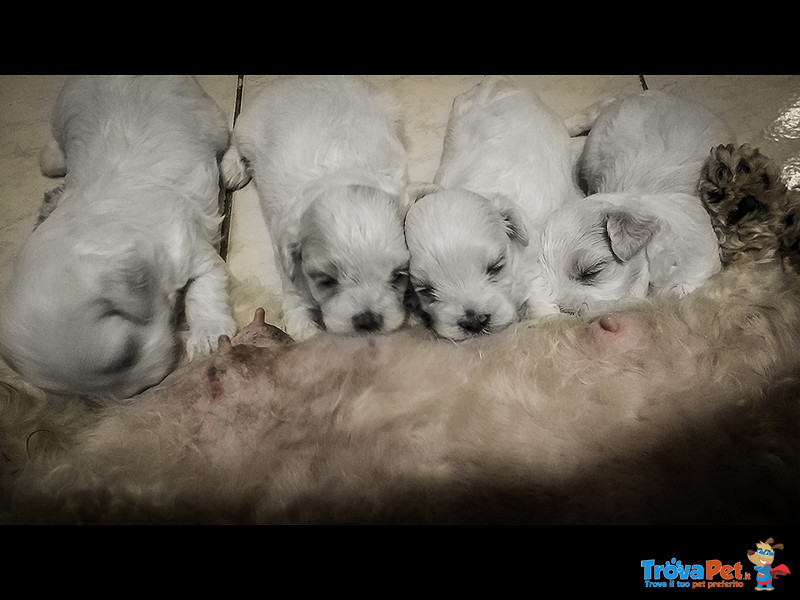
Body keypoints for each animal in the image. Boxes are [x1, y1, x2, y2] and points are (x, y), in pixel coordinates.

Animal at [0, 76, 238, 404]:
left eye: (127, 353)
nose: (143, 391)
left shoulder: (191, 251)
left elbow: (204, 290)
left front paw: (209, 336)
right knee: (52, 155)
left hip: (207, 118)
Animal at [223, 76, 412, 342]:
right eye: (327, 281)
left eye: (398, 275)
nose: (368, 321)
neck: (339, 177)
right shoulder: (288, 261)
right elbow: (297, 303)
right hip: (248, 125)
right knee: (235, 141)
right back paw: (232, 167)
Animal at [406, 75, 580, 340]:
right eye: (425, 290)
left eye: (496, 267)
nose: (474, 321)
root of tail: (500, 81)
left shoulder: (531, 262)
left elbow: (537, 295)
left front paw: (547, 319)